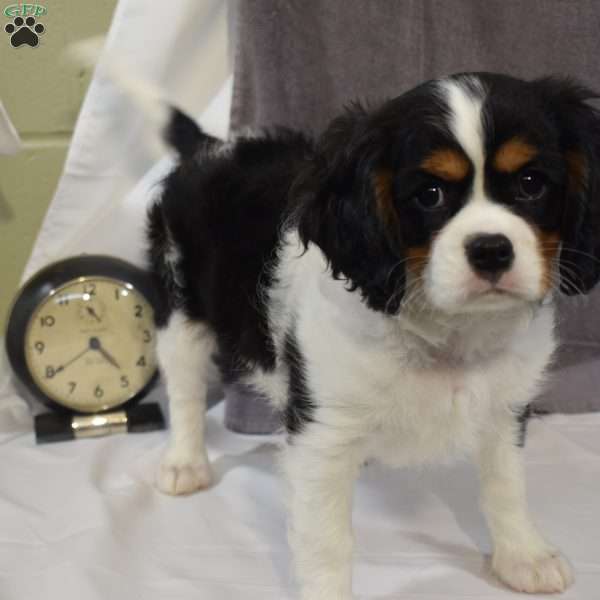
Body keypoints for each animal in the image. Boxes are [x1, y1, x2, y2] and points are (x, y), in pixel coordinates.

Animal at [146, 72, 600, 596]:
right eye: (429, 194)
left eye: (531, 183)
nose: (491, 250)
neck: (448, 331)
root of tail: (214, 145)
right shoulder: (322, 433)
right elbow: (326, 540)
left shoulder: (505, 407)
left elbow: (506, 485)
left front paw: (523, 556)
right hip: (180, 307)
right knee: (184, 389)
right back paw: (185, 463)